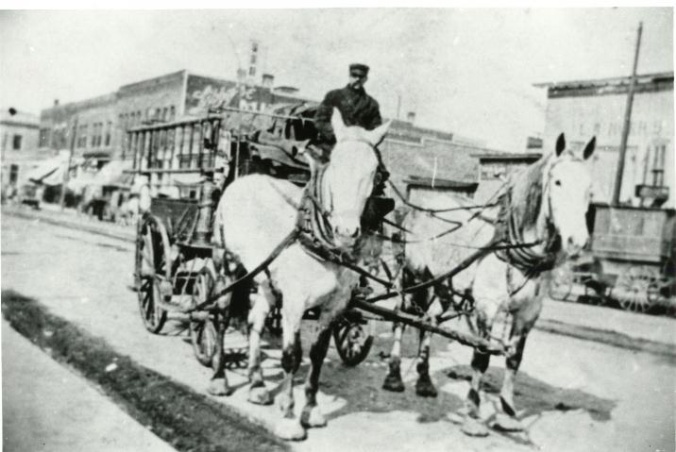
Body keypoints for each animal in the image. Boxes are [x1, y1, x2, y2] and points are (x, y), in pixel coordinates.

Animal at [211, 107, 390, 440]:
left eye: (374, 173)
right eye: (335, 164)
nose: (347, 231)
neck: (320, 241)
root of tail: (246, 178)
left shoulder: (335, 307)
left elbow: (317, 355)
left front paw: (311, 411)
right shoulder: (294, 303)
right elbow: (291, 356)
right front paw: (290, 419)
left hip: (265, 278)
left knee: (255, 321)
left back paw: (257, 384)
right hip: (226, 263)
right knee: (221, 315)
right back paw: (219, 378)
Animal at [382, 134, 596, 438]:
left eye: (590, 187)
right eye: (558, 182)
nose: (578, 241)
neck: (510, 247)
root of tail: (418, 206)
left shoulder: (528, 314)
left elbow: (514, 359)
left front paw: (507, 413)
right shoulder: (486, 307)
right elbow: (481, 358)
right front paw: (473, 415)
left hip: (443, 285)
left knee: (429, 321)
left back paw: (424, 379)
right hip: (413, 276)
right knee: (402, 317)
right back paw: (394, 375)